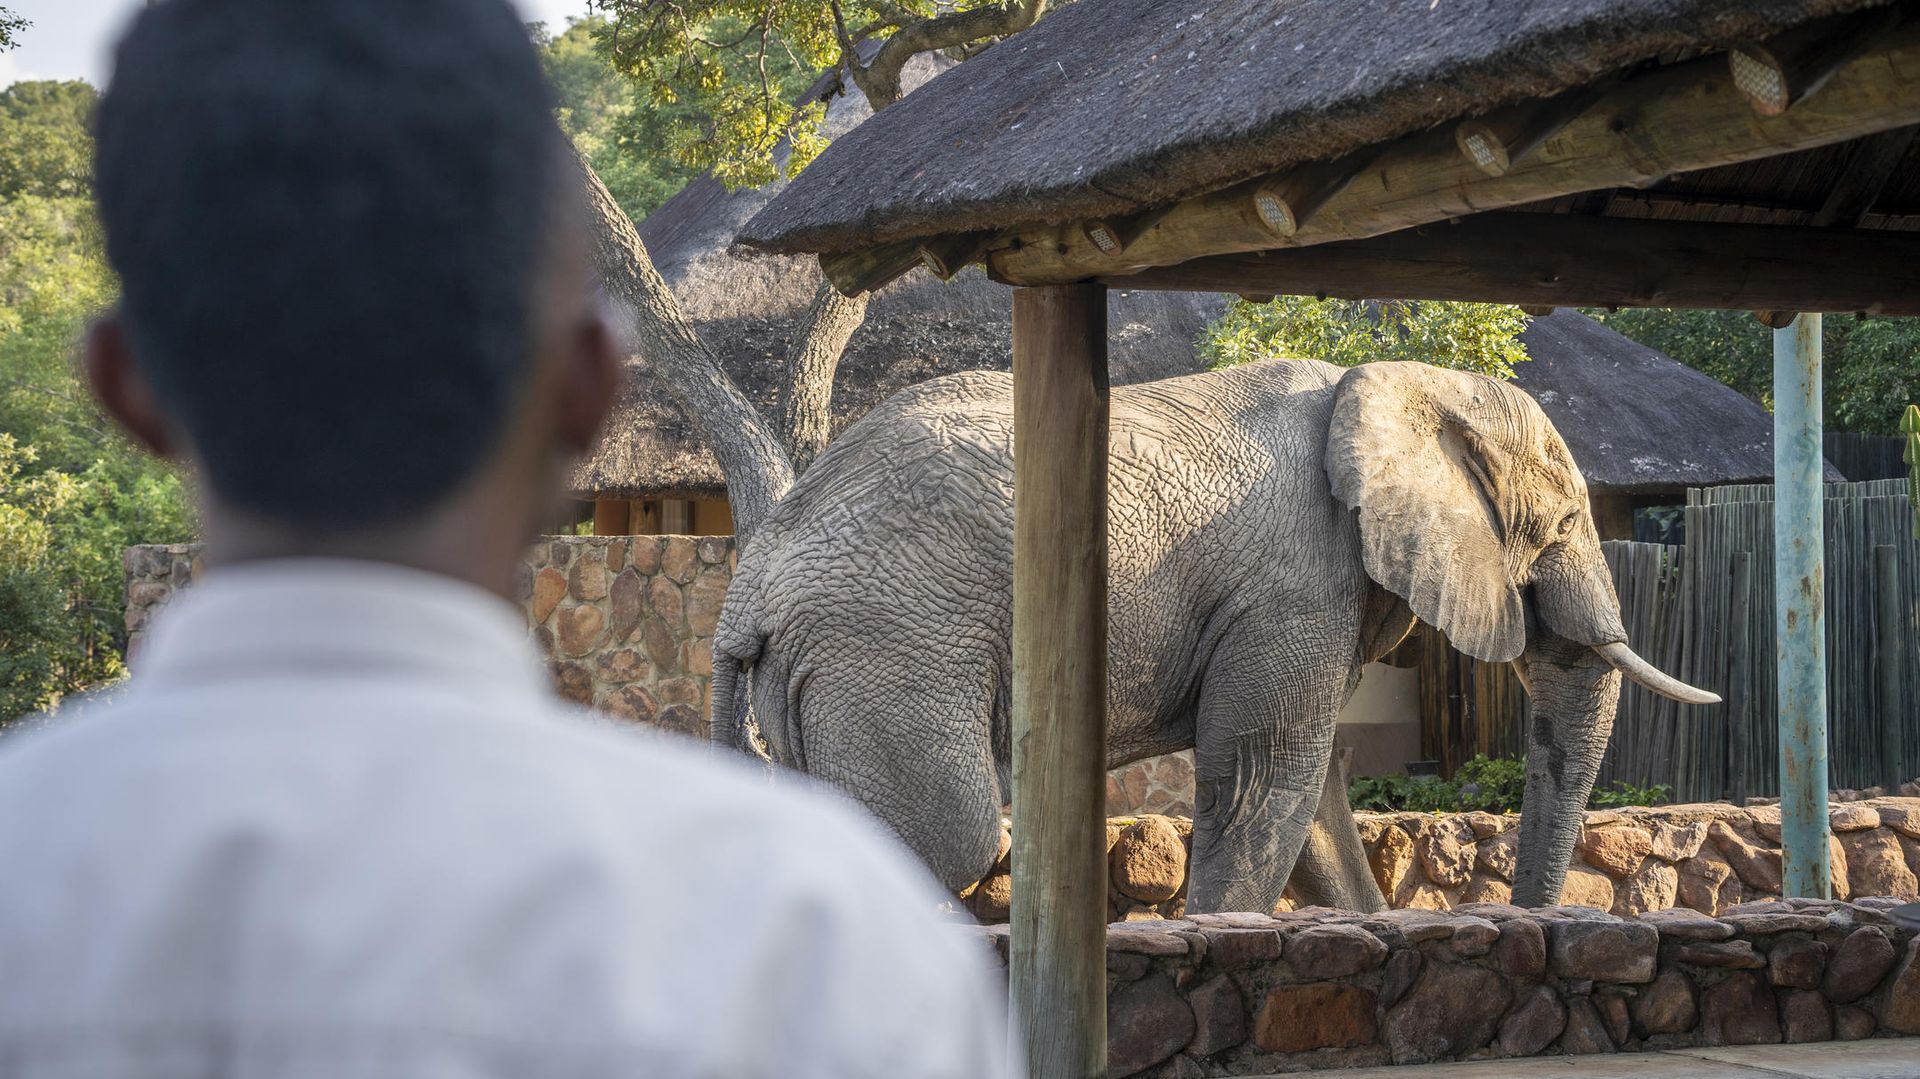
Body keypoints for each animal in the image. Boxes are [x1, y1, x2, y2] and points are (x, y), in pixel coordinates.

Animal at [710, 359, 1712, 906]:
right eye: (1567, 524)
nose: (1542, 916)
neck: (1401, 382)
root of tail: (744, 587)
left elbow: (1311, 797)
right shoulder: (1294, 582)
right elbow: (1265, 776)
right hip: (887, 647)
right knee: (950, 829)